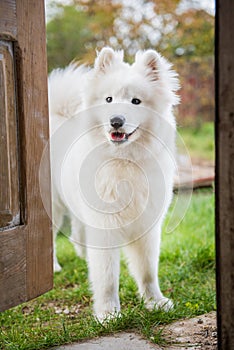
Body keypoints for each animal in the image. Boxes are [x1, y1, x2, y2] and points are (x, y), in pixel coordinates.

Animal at [47, 47, 179, 322]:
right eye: (108, 99)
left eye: (136, 101)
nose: (116, 120)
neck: (124, 162)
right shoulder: (105, 227)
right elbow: (107, 277)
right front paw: (108, 314)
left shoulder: (147, 227)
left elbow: (148, 271)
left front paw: (155, 302)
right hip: (52, 204)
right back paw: (53, 266)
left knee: (77, 232)